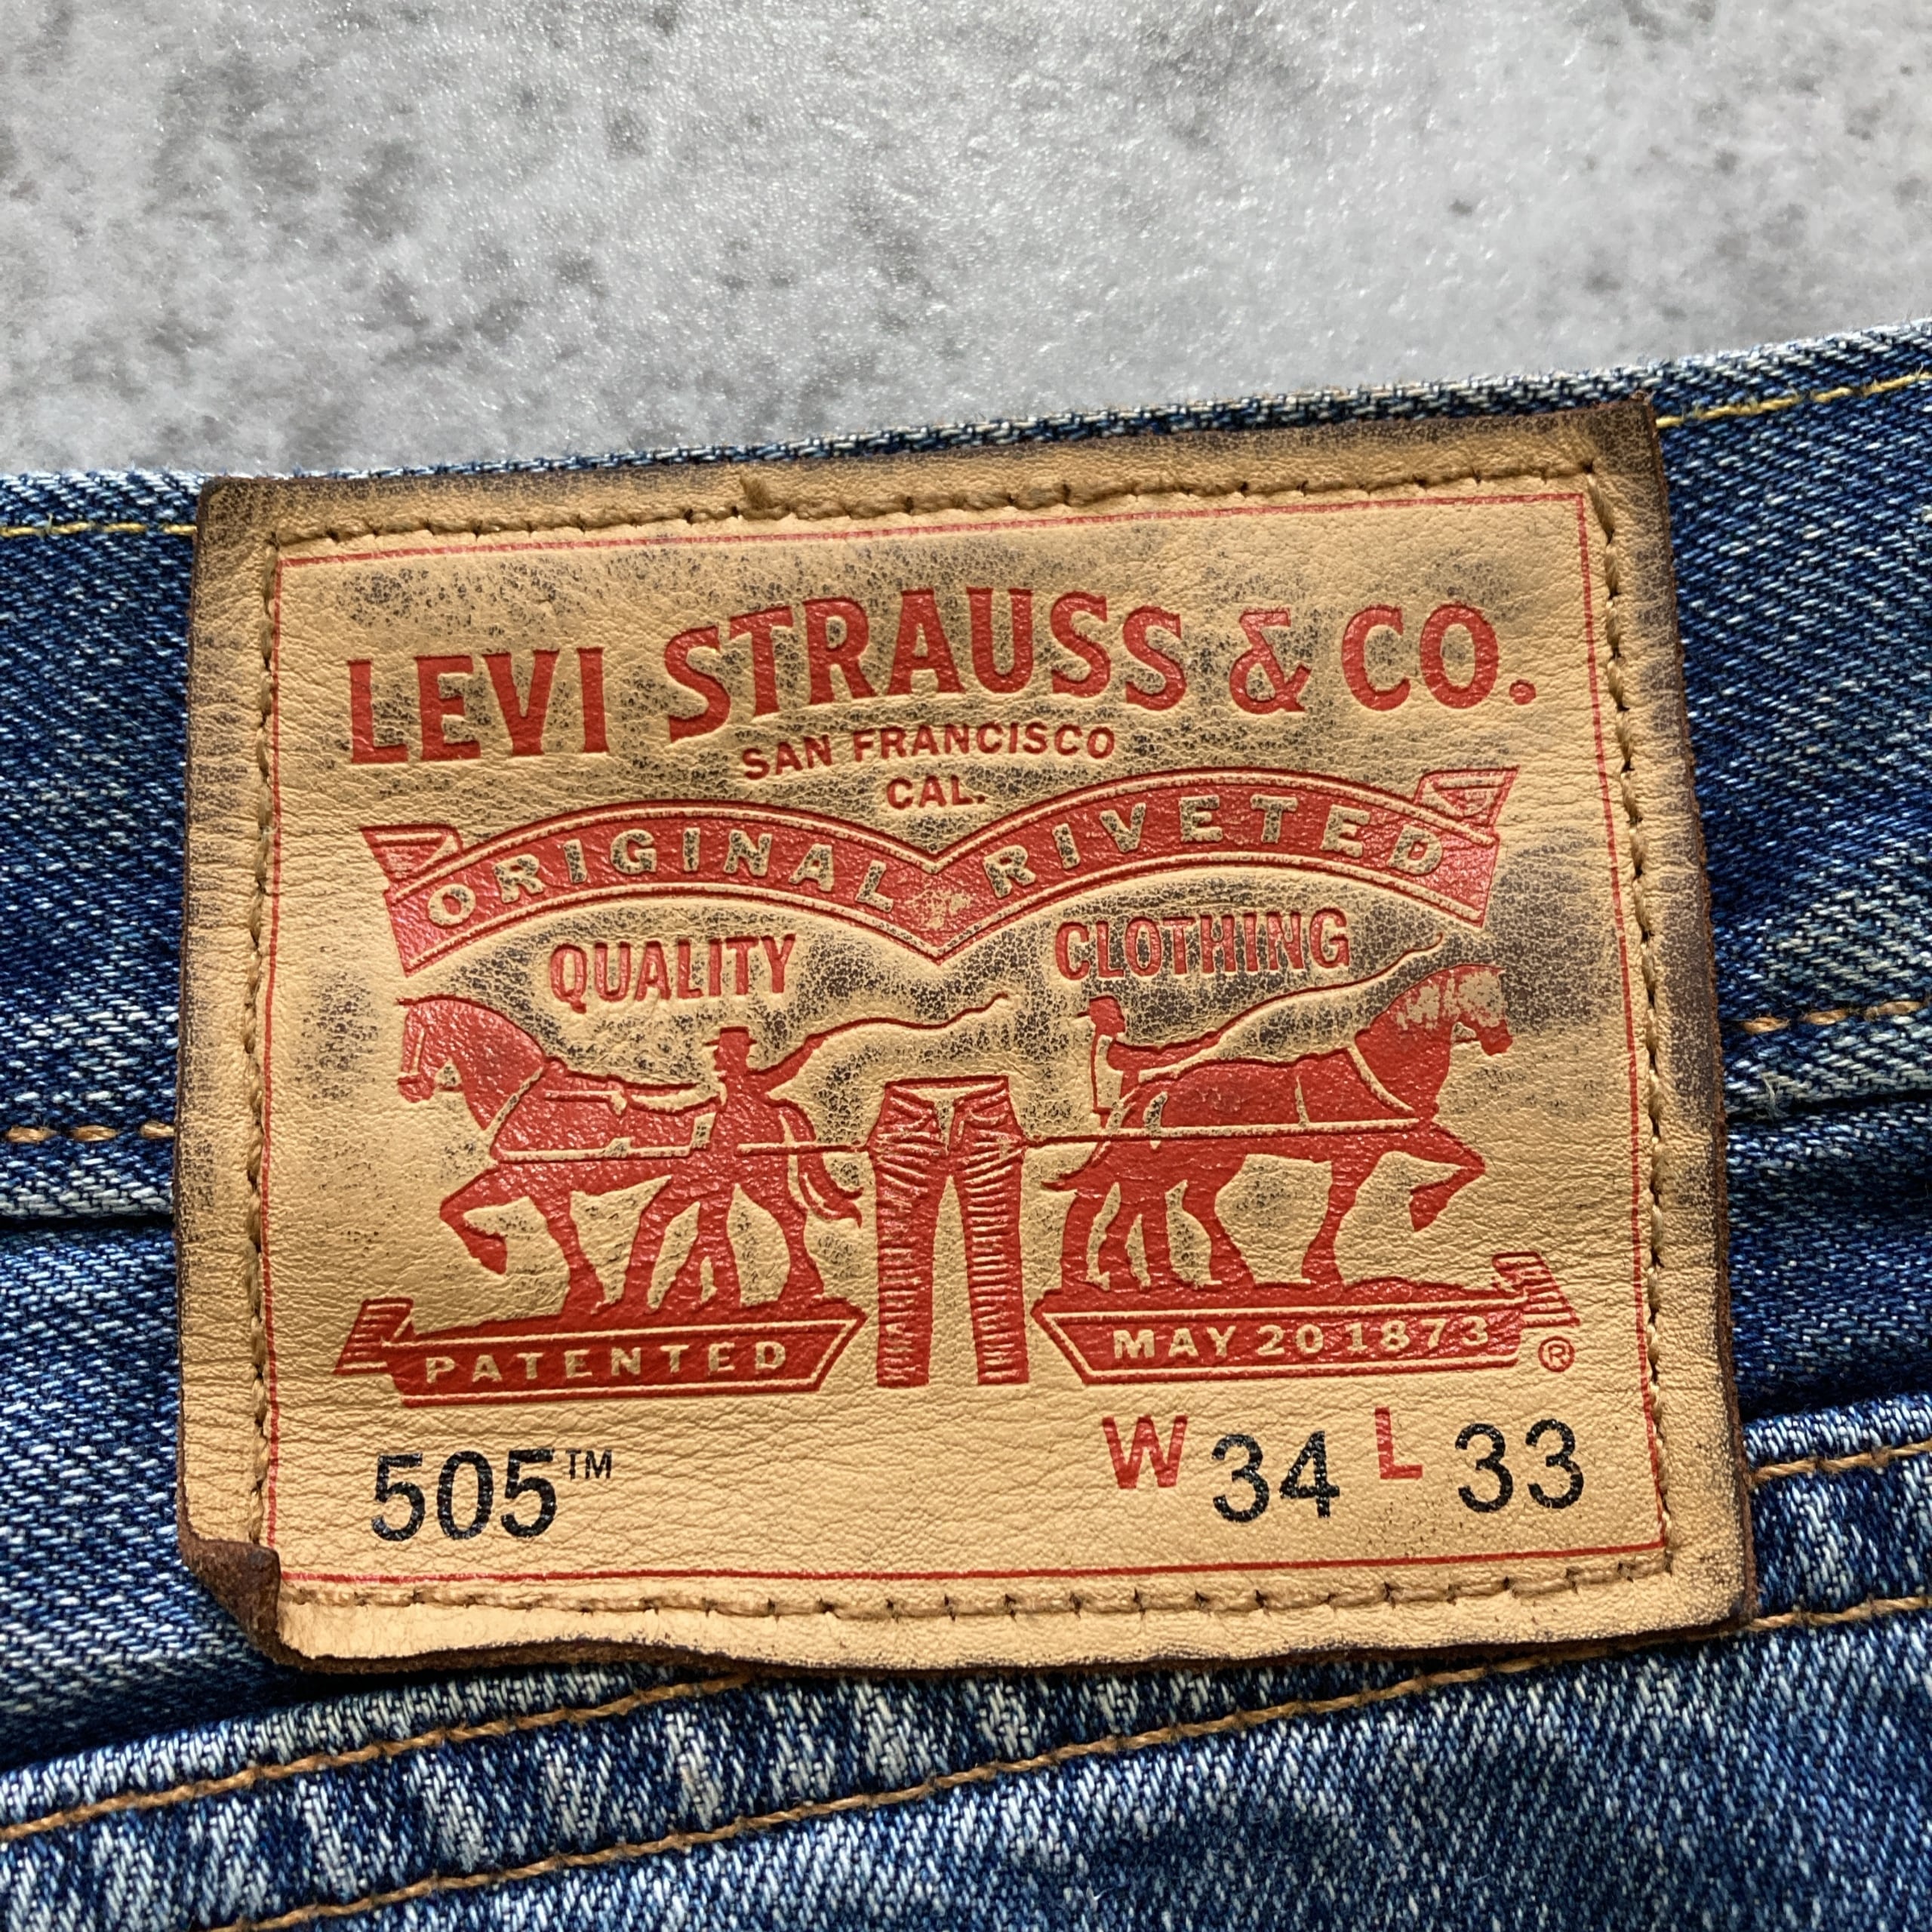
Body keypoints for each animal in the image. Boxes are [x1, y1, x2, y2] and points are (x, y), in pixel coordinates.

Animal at [1061, 963, 1512, 1294]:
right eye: (1489, 998)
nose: (1503, 1044)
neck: (1388, 1067)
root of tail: (1170, 1084)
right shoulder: (1371, 1147)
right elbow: (1343, 1204)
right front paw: (1415, 1214)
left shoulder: (1394, 1139)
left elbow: (1471, 1163)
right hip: (1208, 1154)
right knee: (1164, 1198)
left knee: (1163, 1198)